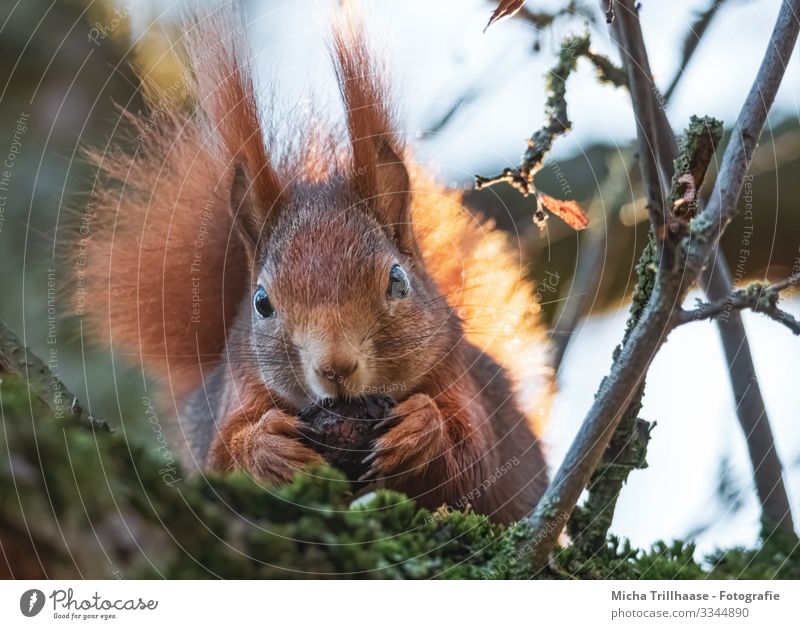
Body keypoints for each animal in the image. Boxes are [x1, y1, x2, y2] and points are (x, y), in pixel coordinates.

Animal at [78, 4, 552, 524]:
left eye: (398, 281)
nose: (336, 367)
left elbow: (473, 458)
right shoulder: (240, 390)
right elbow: (224, 459)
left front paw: (420, 431)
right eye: (262, 302)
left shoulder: (455, 375)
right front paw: (267, 449)